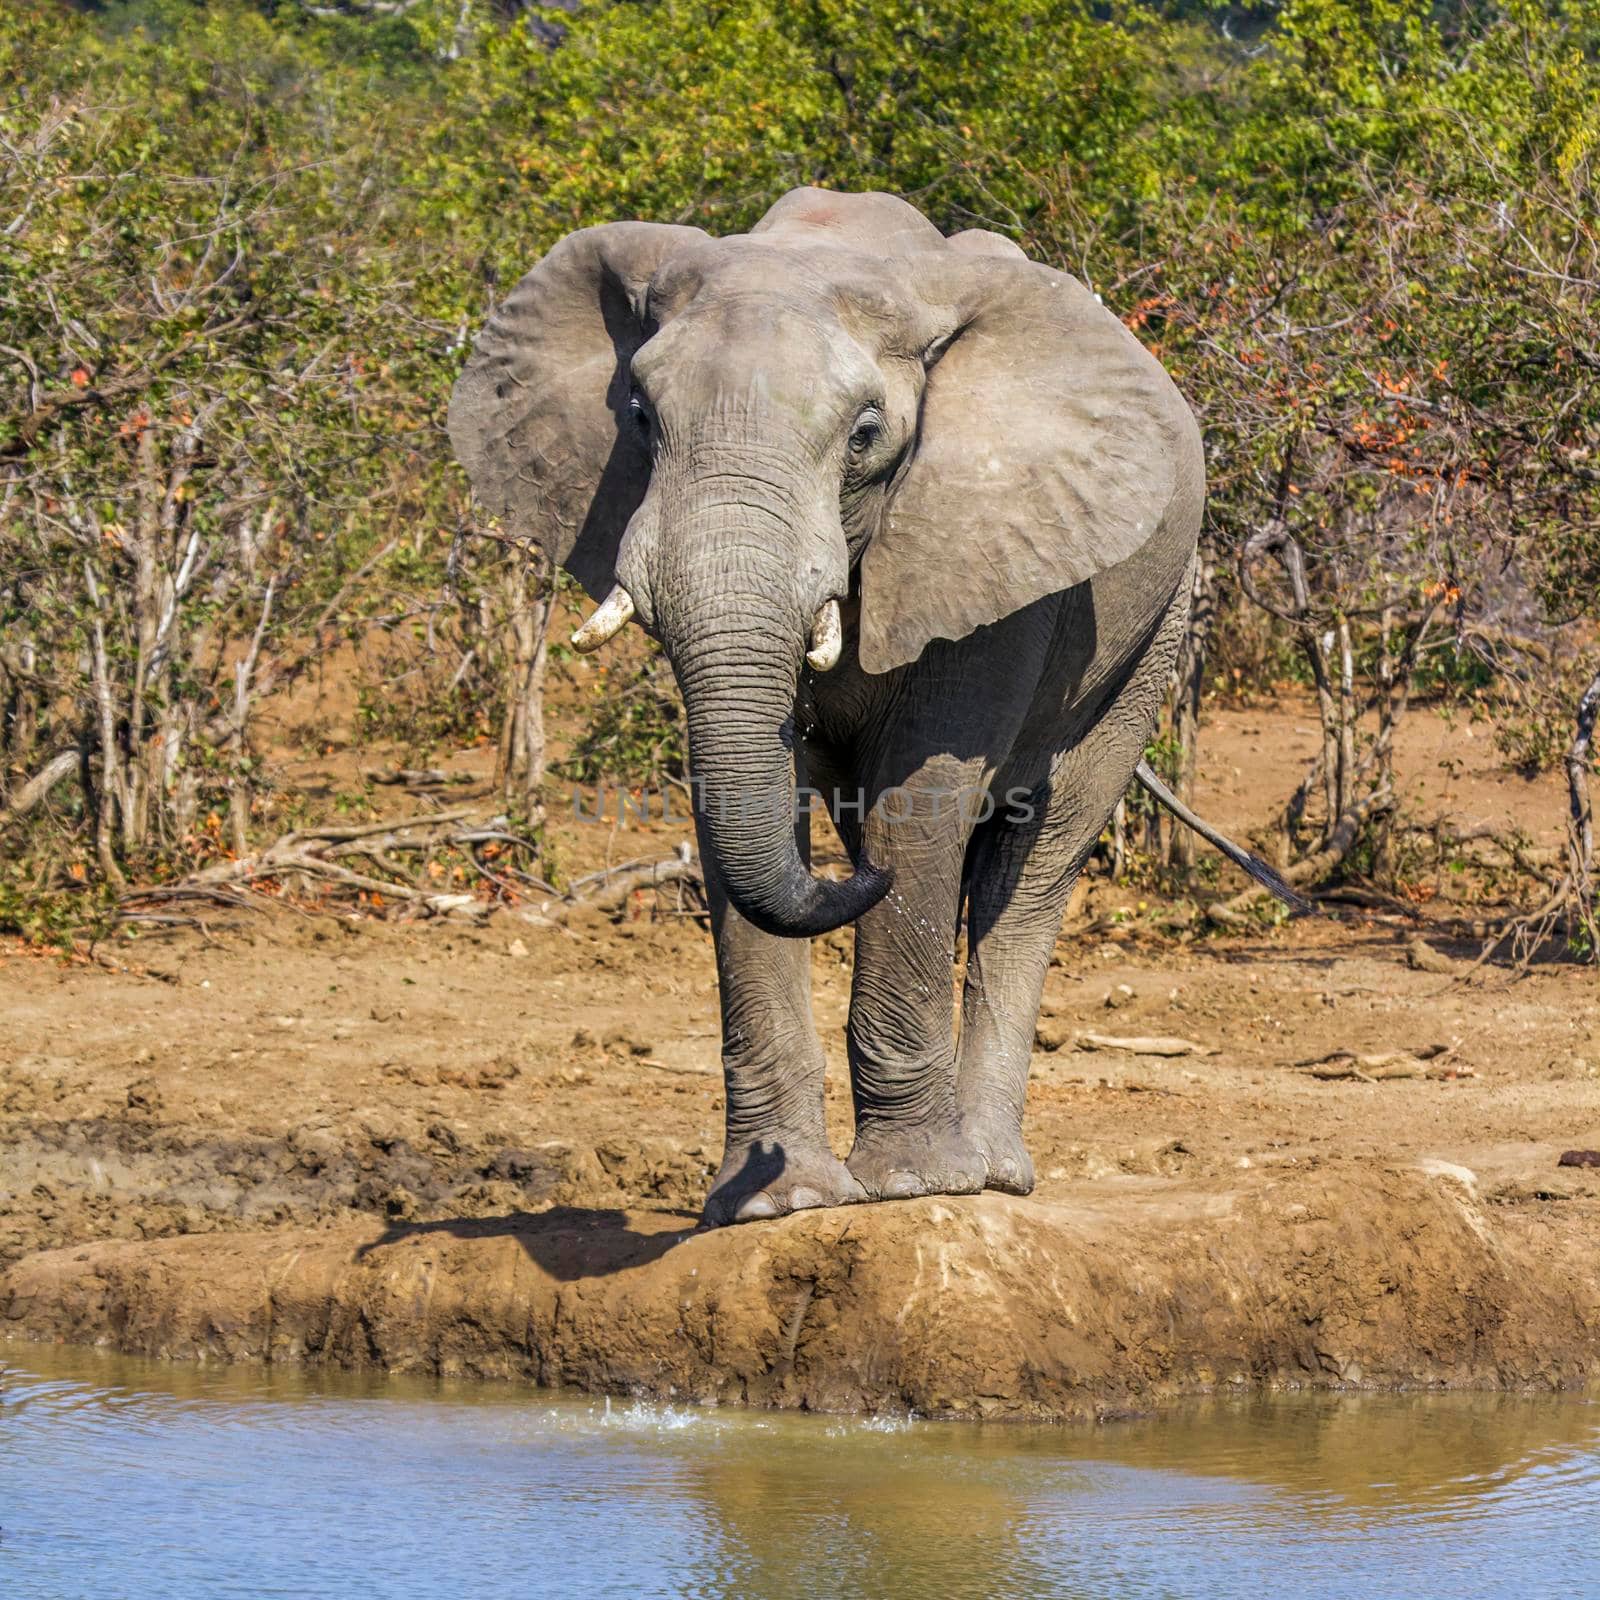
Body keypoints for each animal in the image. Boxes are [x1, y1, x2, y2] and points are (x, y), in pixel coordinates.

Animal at [448, 190, 1299, 1235]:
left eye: (864, 434)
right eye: (640, 418)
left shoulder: (989, 540)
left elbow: (924, 799)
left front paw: (916, 1185)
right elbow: (738, 803)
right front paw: (769, 1202)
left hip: (1158, 626)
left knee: (1035, 866)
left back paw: (992, 1170)